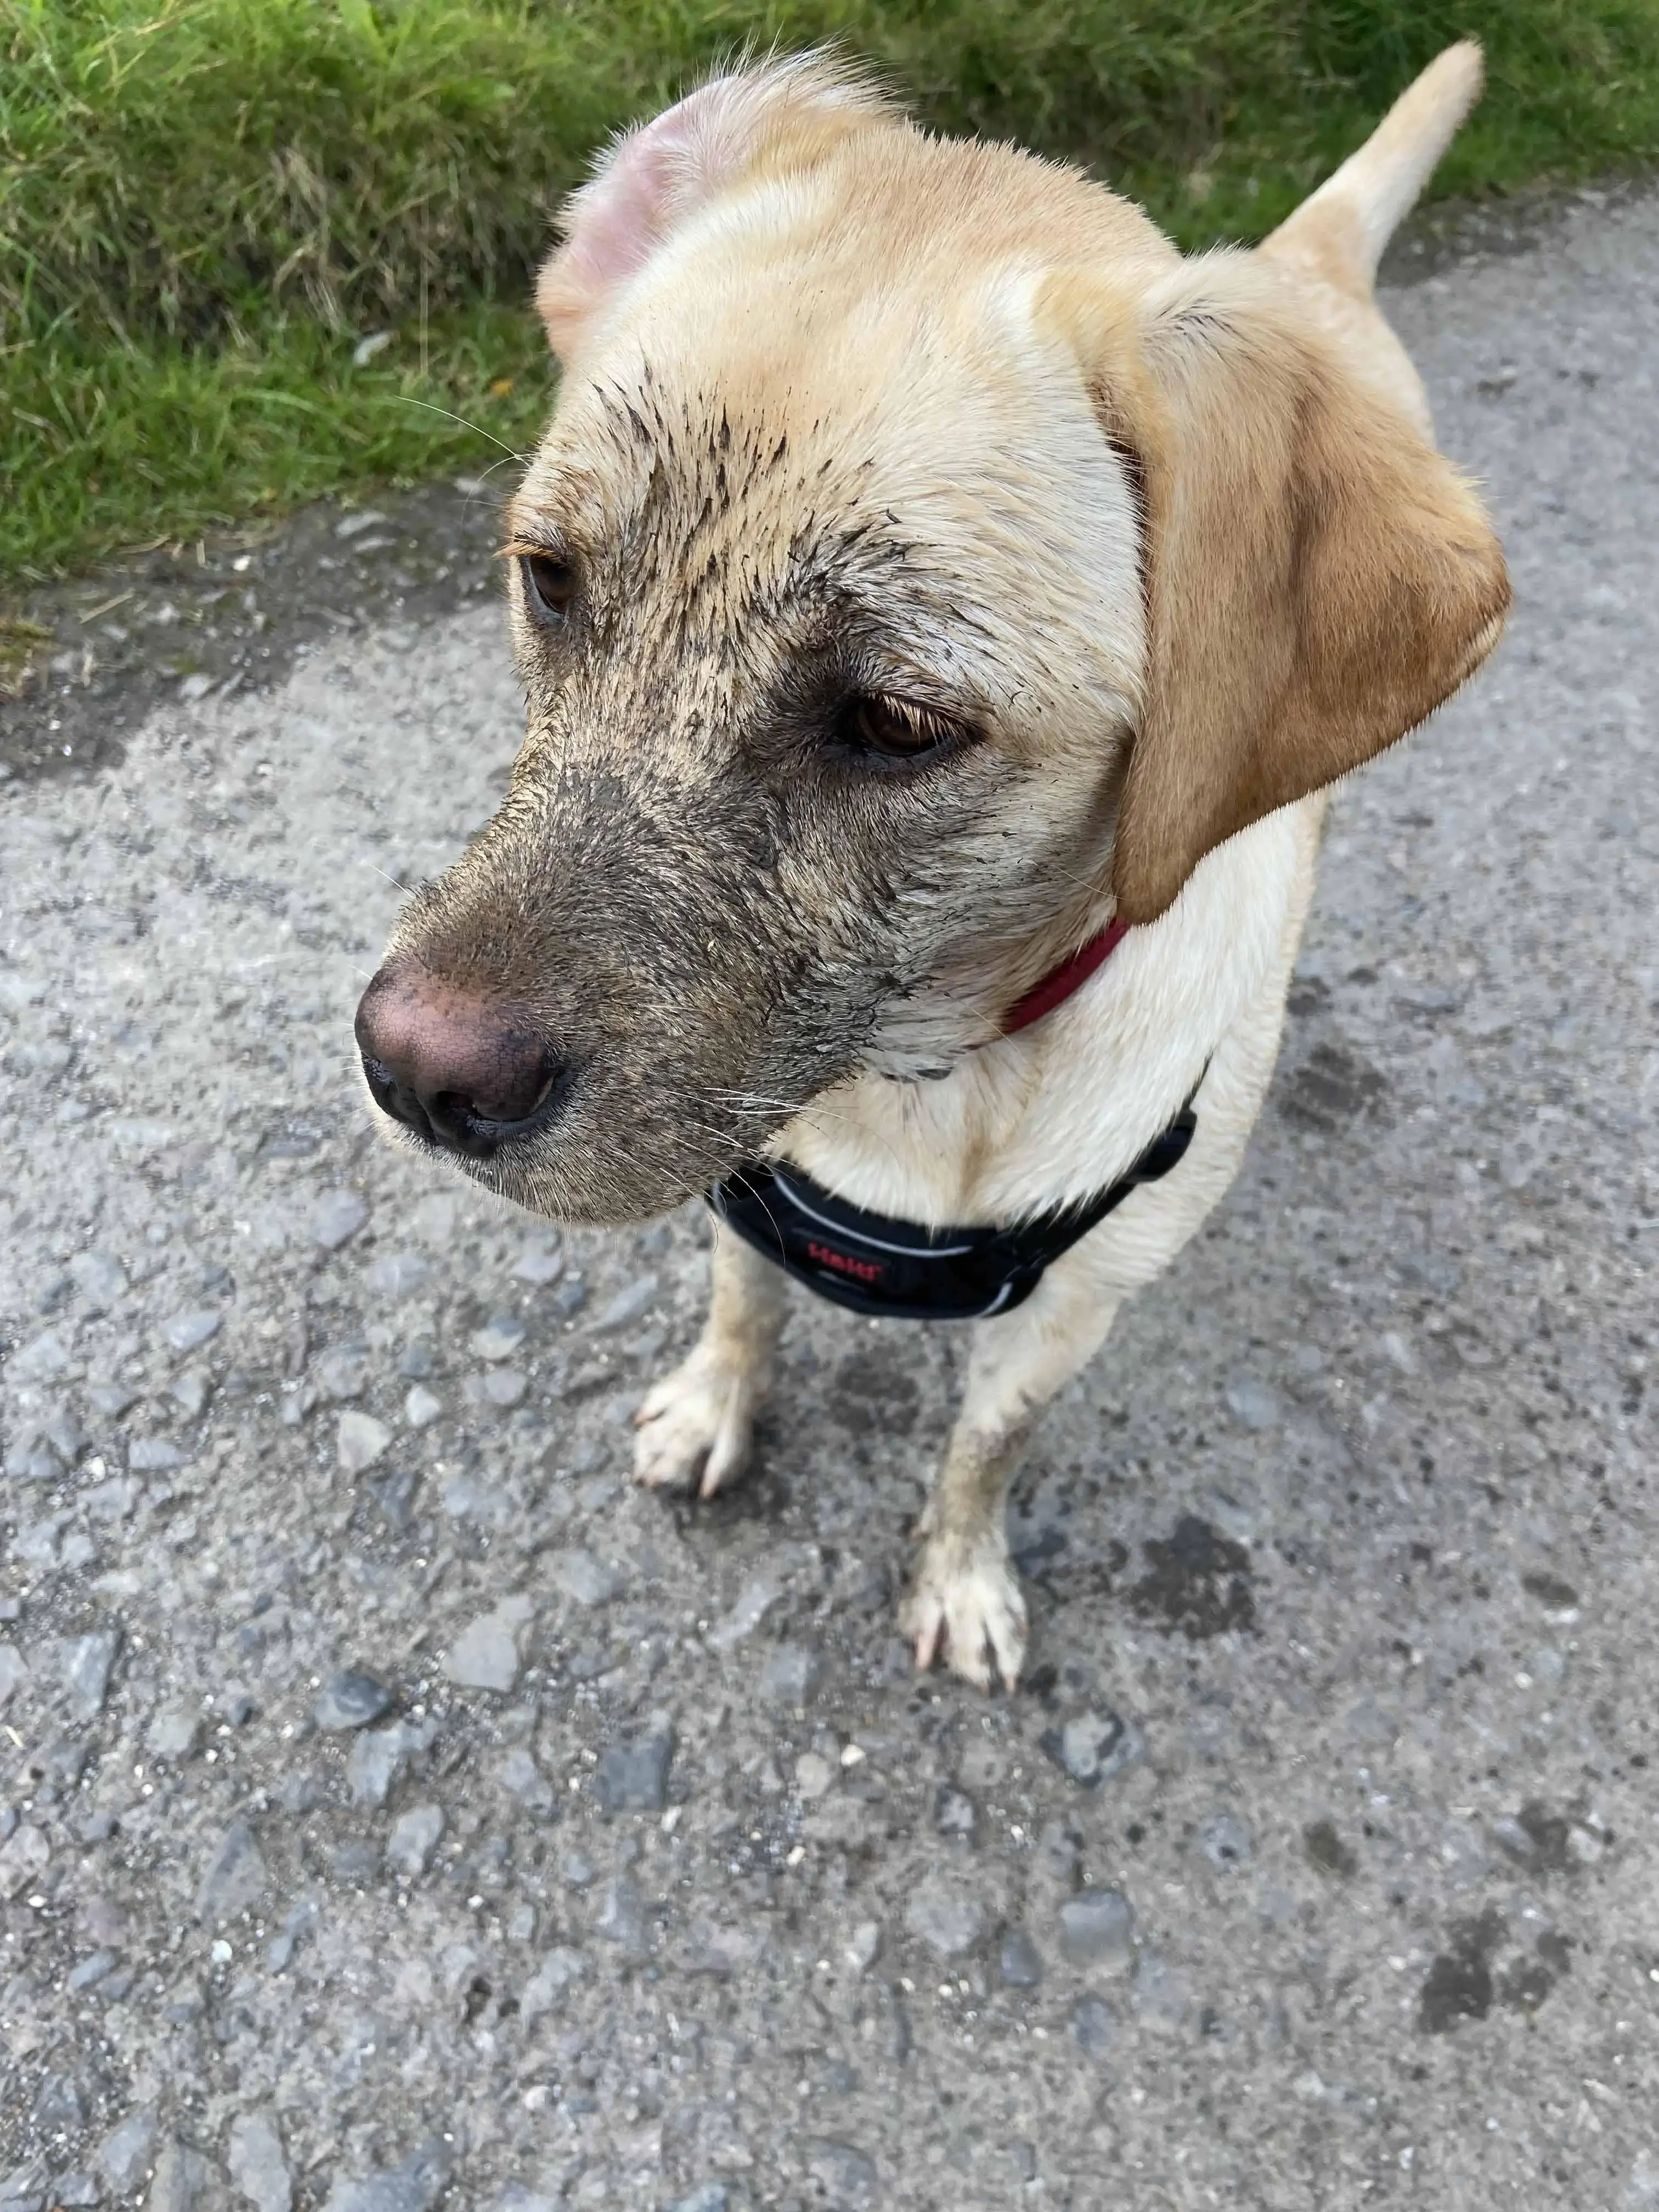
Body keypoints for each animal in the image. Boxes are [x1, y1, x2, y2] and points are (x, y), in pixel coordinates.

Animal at [358, 39, 1513, 1690]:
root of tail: (1300, 270)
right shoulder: (743, 1190)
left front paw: (963, 1576)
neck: (933, 1081)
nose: (414, 1074)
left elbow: (989, 1448)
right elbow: (744, 1313)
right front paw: (713, 1407)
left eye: (897, 722)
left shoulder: (1075, 1308)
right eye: (551, 580)